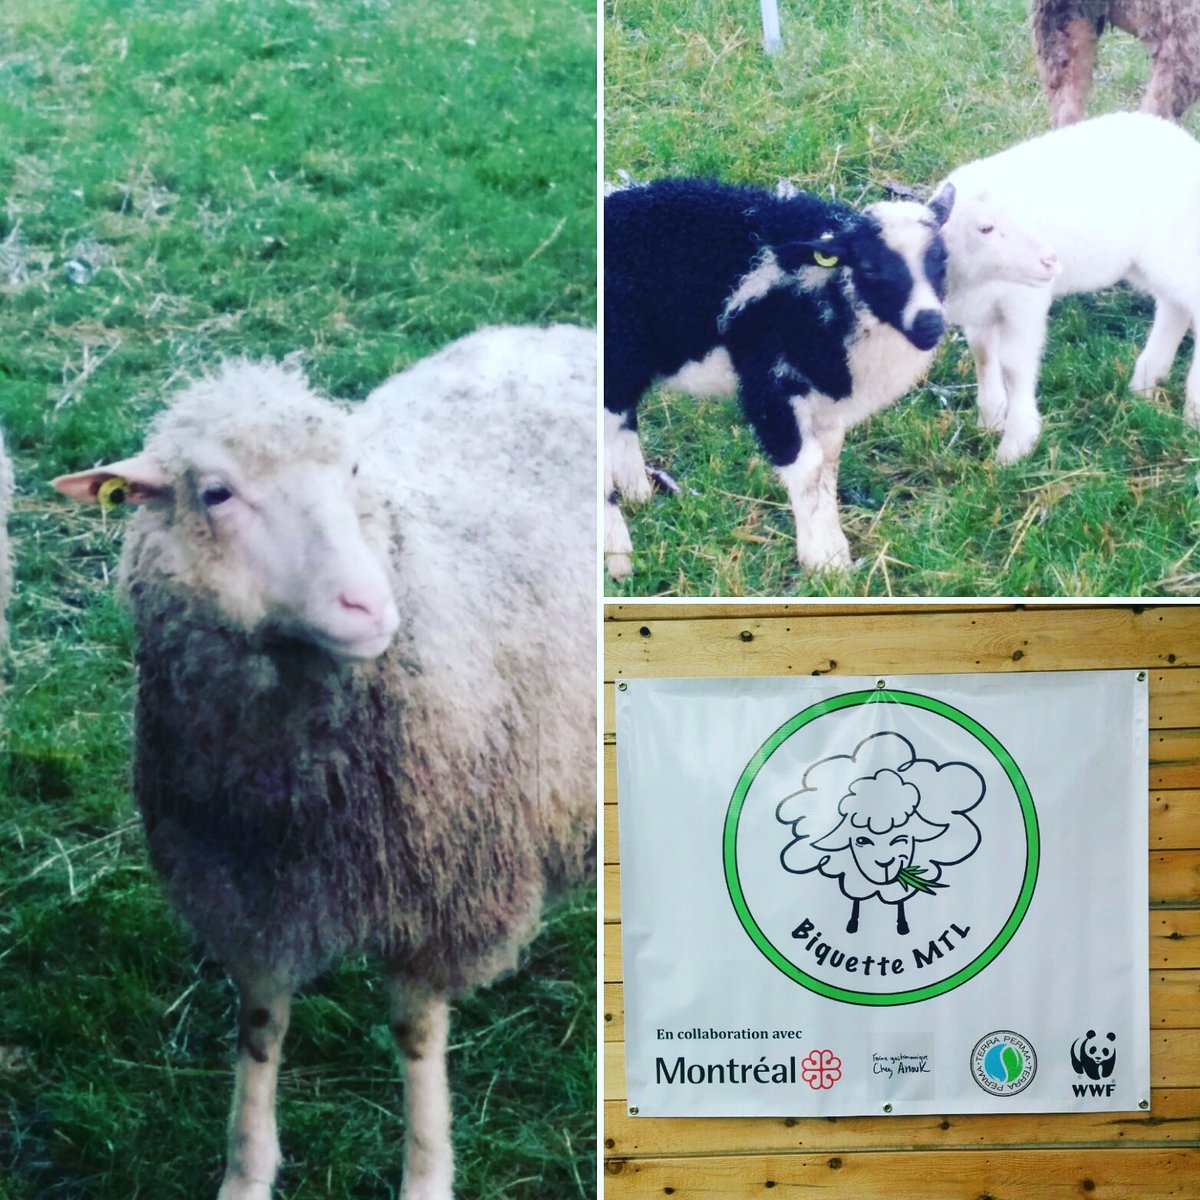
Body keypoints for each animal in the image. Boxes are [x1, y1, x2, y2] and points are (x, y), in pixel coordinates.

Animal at [52, 324, 596, 1200]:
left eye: (351, 472)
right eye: (215, 494)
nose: (371, 606)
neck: (296, 791)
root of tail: (552, 332)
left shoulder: (433, 892)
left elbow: (414, 1036)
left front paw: (426, 1176)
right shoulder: (244, 887)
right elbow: (260, 1026)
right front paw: (246, 1171)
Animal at [604, 176, 955, 581]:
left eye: (941, 260)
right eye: (870, 267)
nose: (929, 323)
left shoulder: (823, 402)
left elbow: (827, 468)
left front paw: (834, 555)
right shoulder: (771, 383)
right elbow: (806, 468)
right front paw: (822, 563)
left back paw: (639, 496)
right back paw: (618, 557)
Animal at [777, 731, 984, 937]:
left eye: (902, 840)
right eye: (861, 840)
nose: (884, 864)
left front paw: (902, 926)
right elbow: (856, 900)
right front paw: (852, 924)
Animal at [938, 111, 1200, 462]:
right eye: (986, 228)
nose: (1050, 261)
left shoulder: (1025, 303)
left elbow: (1014, 365)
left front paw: (1016, 444)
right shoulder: (981, 310)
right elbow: (982, 356)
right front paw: (990, 420)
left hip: (1174, 249)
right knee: (1175, 307)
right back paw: (1144, 385)